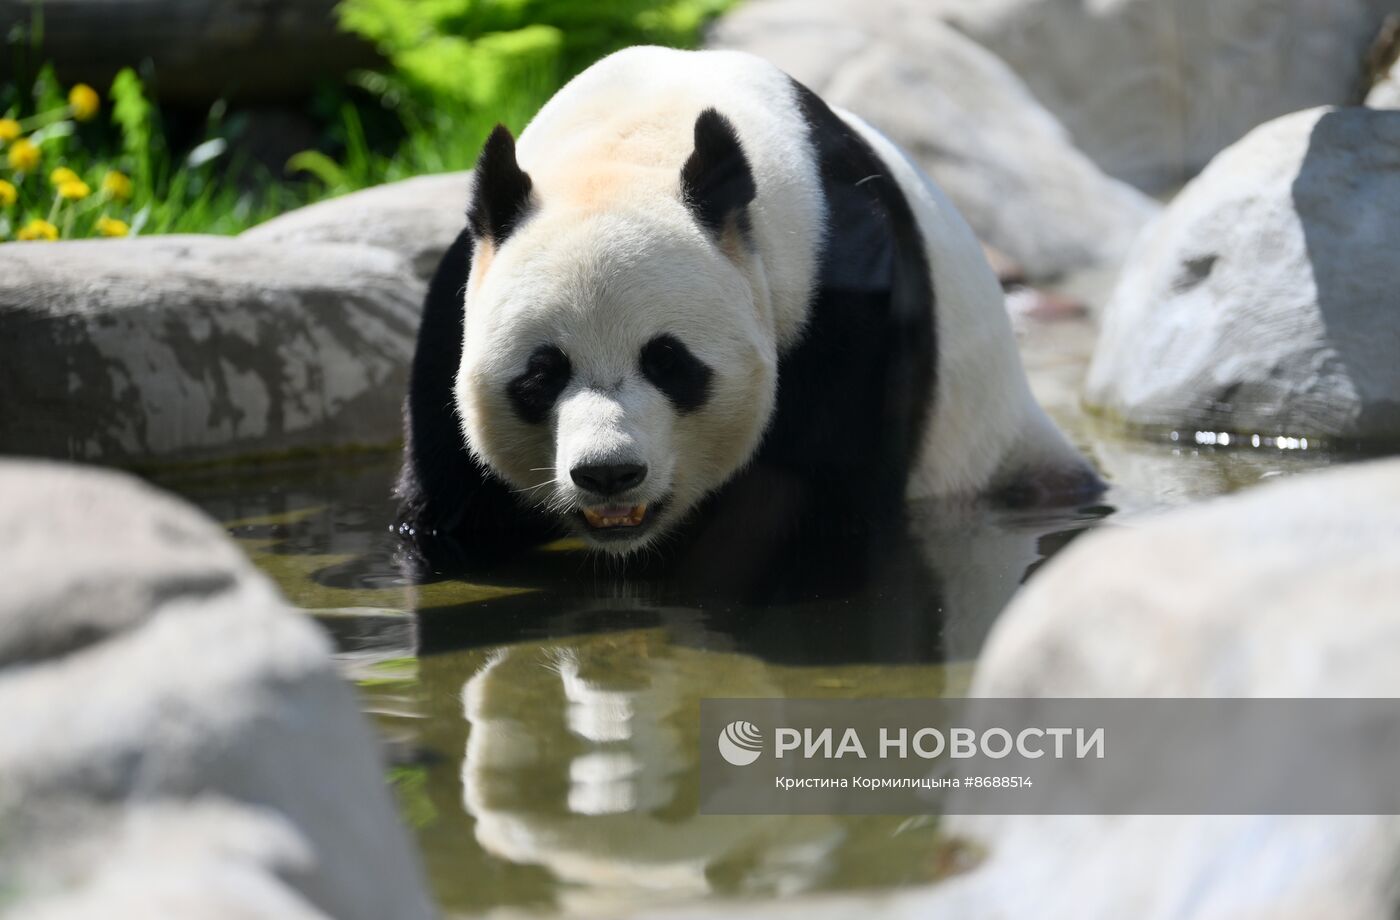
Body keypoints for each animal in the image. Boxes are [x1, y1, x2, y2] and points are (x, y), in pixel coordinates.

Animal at [397, 46, 1103, 562]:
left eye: (668, 361)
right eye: (542, 374)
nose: (608, 474)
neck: (634, 141)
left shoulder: (844, 291)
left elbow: (822, 494)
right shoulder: (459, 294)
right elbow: (450, 494)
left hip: (996, 452)